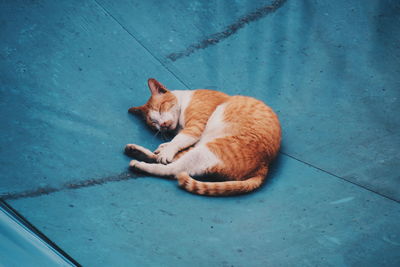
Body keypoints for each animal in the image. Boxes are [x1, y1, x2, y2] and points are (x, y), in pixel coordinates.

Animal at [126, 78, 282, 196]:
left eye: (160, 108)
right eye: (153, 123)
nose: (163, 124)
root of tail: (264, 166)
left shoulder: (194, 128)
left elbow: (177, 141)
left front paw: (166, 149)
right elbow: (175, 143)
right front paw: (164, 146)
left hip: (209, 150)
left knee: (172, 169)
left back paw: (140, 164)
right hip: (204, 150)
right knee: (170, 161)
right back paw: (135, 151)